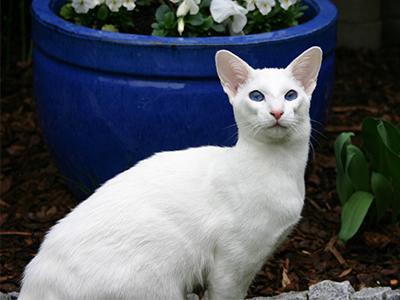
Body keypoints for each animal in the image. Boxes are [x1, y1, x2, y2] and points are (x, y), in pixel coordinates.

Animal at [18, 47, 324, 300]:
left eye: (290, 95)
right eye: (257, 96)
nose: (277, 112)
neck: (280, 169)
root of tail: (32, 284)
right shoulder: (231, 265)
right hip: (160, 283)